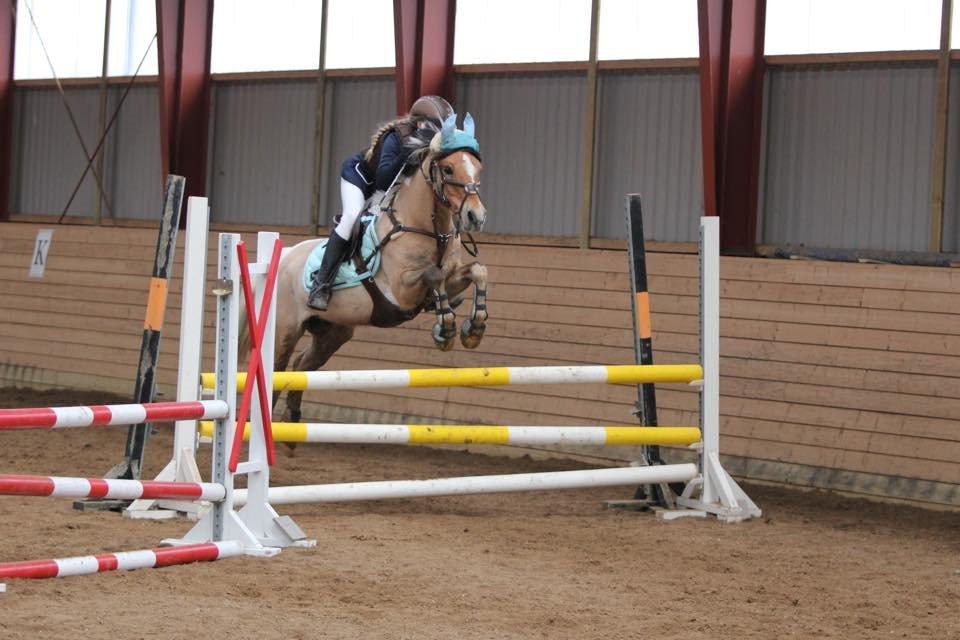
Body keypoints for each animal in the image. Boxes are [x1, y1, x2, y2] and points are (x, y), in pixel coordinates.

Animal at [265, 133, 489, 424]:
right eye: (448, 169)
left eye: (479, 169)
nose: (476, 217)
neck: (428, 228)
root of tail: (286, 257)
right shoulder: (402, 291)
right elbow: (434, 274)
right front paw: (446, 332)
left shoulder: (450, 281)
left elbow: (477, 271)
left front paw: (473, 330)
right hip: (286, 331)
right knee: (275, 375)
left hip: (332, 332)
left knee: (302, 365)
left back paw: (291, 421)